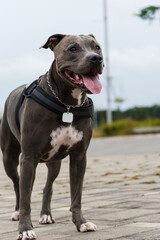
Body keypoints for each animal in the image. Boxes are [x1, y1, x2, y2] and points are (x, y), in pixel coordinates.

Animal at [0, 33, 104, 240]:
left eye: (96, 47)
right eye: (73, 48)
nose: (96, 59)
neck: (67, 105)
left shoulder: (79, 157)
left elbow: (76, 195)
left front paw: (81, 222)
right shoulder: (28, 157)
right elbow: (25, 198)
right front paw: (25, 229)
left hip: (54, 163)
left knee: (47, 186)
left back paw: (45, 215)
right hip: (10, 158)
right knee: (17, 185)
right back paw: (17, 213)